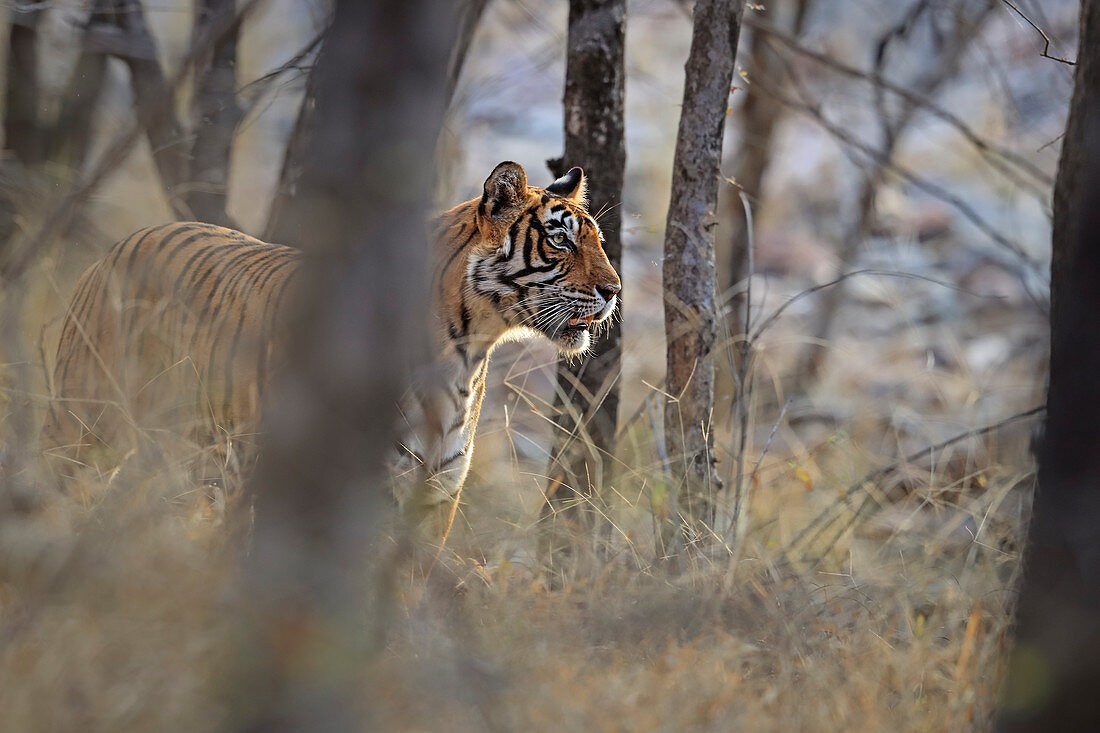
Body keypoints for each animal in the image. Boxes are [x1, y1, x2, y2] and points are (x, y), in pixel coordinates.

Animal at [40, 159, 620, 519]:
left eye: (595, 240)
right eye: (561, 240)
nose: (614, 290)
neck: (467, 351)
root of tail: (115, 249)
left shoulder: (437, 492)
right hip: (84, 425)